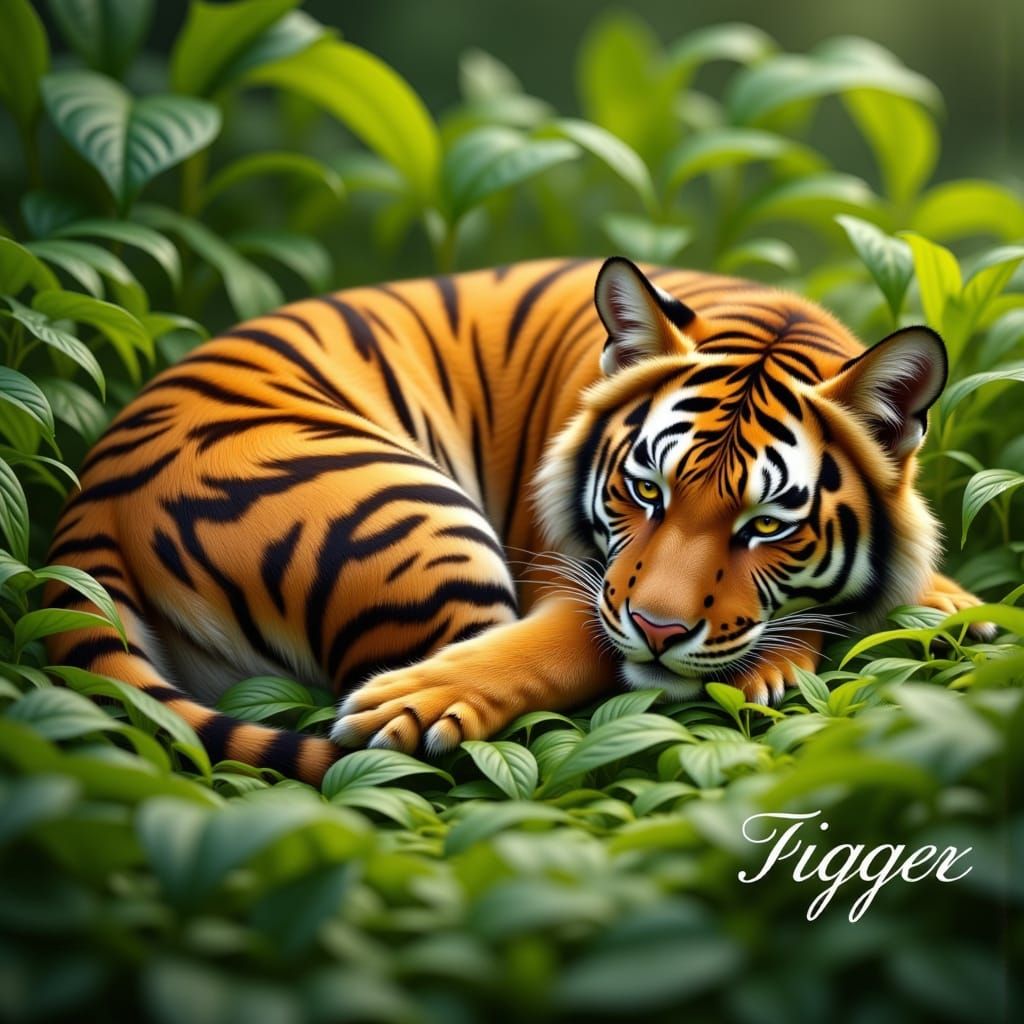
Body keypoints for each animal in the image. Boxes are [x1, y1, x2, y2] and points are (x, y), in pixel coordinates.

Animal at [43, 257, 992, 784]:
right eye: (646, 490)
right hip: (420, 524)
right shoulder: (573, 580)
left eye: (765, 526)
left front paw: (955, 610)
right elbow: (569, 642)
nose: (658, 631)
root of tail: (95, 495)